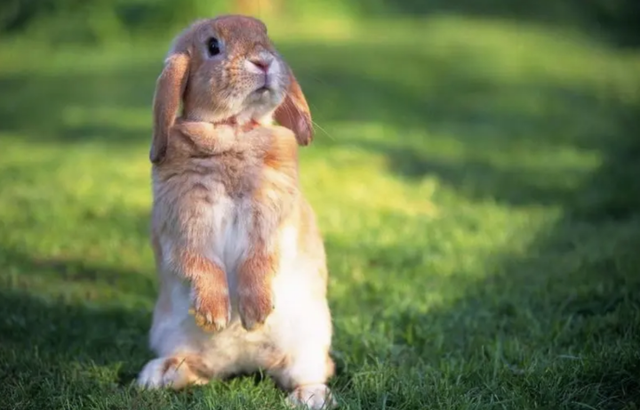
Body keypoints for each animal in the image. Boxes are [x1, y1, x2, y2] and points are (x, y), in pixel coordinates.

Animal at [134, 14, 336, 408]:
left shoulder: (271, 219)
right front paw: (215, 315)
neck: (233, 131)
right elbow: (200, 262)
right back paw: (158, 375)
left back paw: (309, 396)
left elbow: (258, 260)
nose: (264, 61)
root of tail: (244, 363)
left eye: (266, 37)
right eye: (213, 46)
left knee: (312, 372)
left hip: (308, 346)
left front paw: (255, 314)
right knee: (196, 369)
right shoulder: (185, 222)